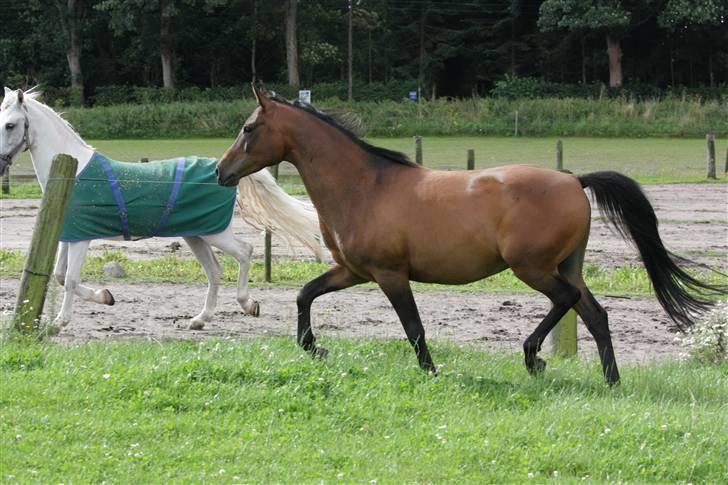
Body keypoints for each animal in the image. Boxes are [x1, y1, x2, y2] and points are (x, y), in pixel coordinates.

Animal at [0, 87, 324, 328]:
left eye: (10, 125)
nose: (0, 162)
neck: (75, 171)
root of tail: (219, 169)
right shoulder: (70, 236)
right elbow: (59, 276)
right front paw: (106, 296)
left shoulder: (82, 239)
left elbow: (69, 279)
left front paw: (61, 321)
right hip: (195, 234)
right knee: (215, 270)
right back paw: (200, 319)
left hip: (214, 232)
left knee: (245, 252)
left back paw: (248, 304)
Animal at [218, 85, 728, 384]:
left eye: (248, 127)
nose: (222, 171)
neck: (365, 186)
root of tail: (574, 179)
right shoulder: (352, 271)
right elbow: (305, 294)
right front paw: (312, 347)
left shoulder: (389, 274)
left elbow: (414, 326)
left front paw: (430, 372)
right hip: (568, 266)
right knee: (596, 315)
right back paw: (612, 380)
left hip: (533, 268)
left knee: (565, 303)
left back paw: (533, 357)